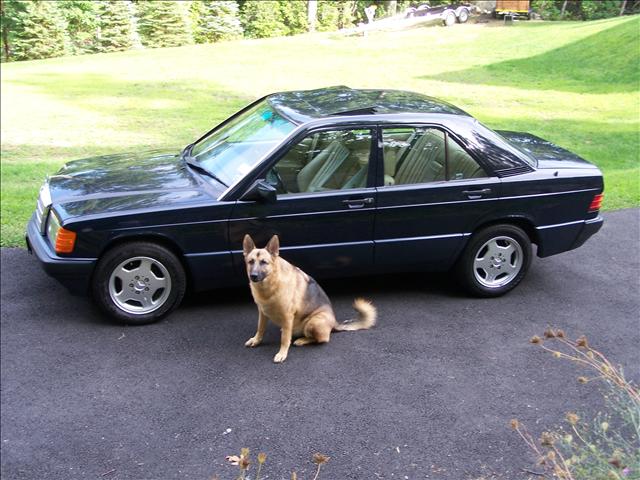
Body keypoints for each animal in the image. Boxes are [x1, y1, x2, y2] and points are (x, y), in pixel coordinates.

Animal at [244, 234, 376, 362]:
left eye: (264, 262)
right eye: (251, 262)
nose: (253, 276)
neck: (270, 285)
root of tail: (334, 323)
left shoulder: (287, 316)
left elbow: (285, 339)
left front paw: (282, 353)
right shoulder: (262, 312)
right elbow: (260, 328)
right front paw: (256, 340)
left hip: (313, 323)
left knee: (322, 339)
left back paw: (302, 340)